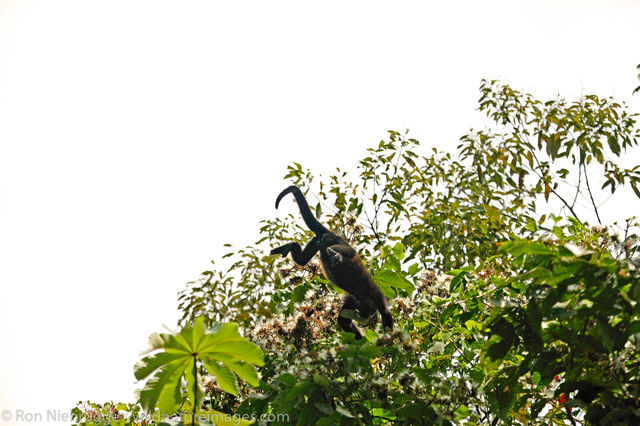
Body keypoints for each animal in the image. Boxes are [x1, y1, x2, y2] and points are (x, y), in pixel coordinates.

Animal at [270, 185, 393, 339]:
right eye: (367, 313)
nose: (361, 317)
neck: (364, 296)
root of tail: (333, 234)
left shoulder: (352, 300)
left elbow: (343, 320)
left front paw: (359, 339)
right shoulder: (377, 296)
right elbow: (386, 315)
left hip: (316, 241)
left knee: (301, 260)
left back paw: (290, 246)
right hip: (336, 241)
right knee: (348, 252)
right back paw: (336, 255)